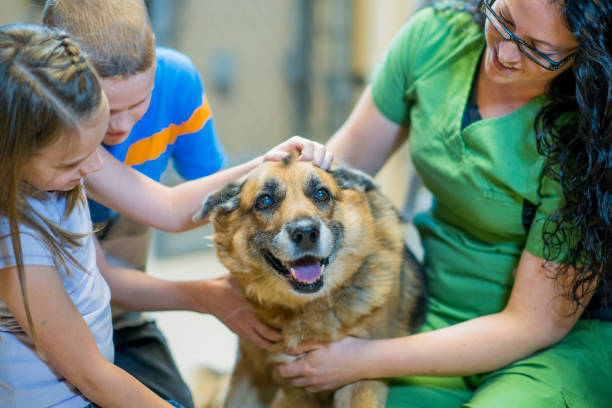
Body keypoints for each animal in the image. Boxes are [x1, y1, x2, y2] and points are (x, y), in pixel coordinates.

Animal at [194, 154, 428, 408]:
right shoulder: (252, 372)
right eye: (264, 200)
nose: (305, 233)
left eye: (321, 194)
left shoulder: (358, 378)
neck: (303, 308)